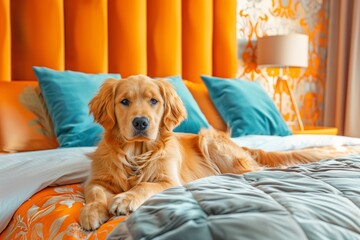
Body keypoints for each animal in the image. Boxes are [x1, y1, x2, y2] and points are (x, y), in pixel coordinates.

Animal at [80, 74, 334, 231]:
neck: (136, 154)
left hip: (209, 140)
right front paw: (91, 212)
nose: (141, 122)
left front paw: (125, 199)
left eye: (154, 101)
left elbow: (144, 185)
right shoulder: (95, 180)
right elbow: (96, 194)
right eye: (124, 101)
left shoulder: (169, 181)